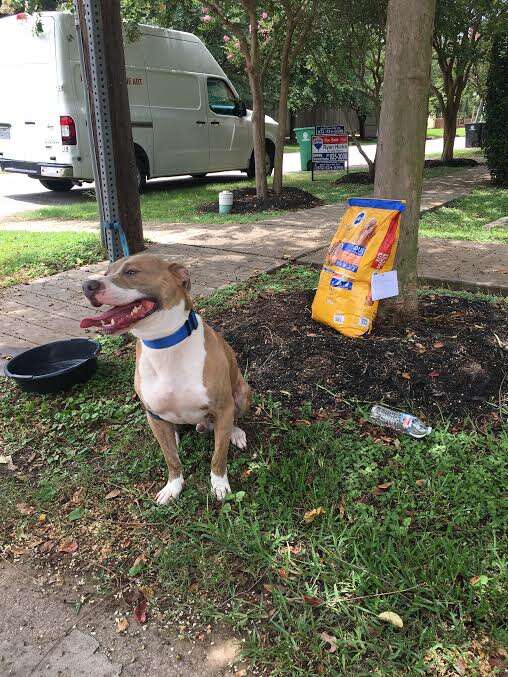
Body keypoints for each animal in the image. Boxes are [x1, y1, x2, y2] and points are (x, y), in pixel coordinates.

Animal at [80, 254, 252, 502]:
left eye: (131, 272)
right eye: (106, 273)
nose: (87, 285)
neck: (163, 343)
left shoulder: (223, 408)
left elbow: (218, 455)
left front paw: (219, 484)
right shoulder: (152, 413)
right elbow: (171, 458)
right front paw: (173, 486)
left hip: (242, 393)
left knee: (233, 421)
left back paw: (235, 433)